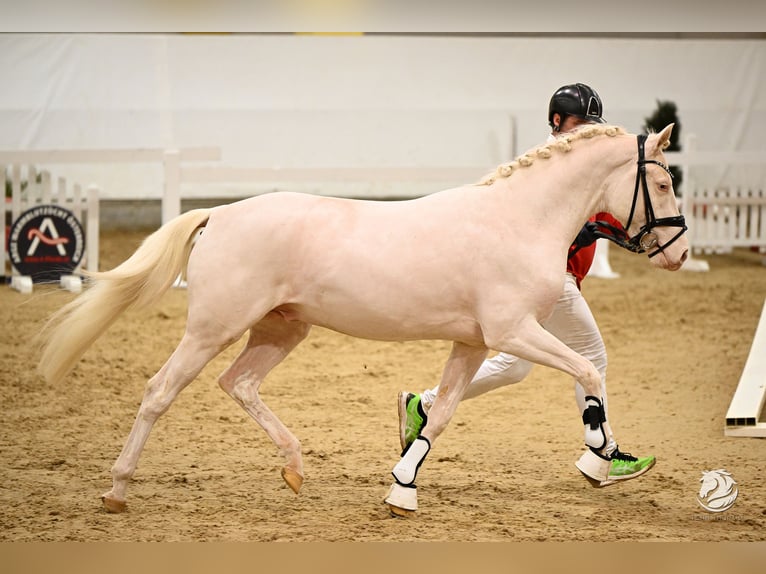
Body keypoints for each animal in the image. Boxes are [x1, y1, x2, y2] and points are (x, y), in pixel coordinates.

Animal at [39, 122, 688, 516]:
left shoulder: (475, 344)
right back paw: (118, 489)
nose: (679, 254)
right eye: (661, 181)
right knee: (160, 391)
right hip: (211, 330)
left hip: (282, 327)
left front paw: (402, 488)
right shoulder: (514, 333)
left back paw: (294, 468)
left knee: (238, 384)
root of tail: (219, 215)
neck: (518, 219)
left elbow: (441, 414)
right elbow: (588, 372)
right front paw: (598, 454)